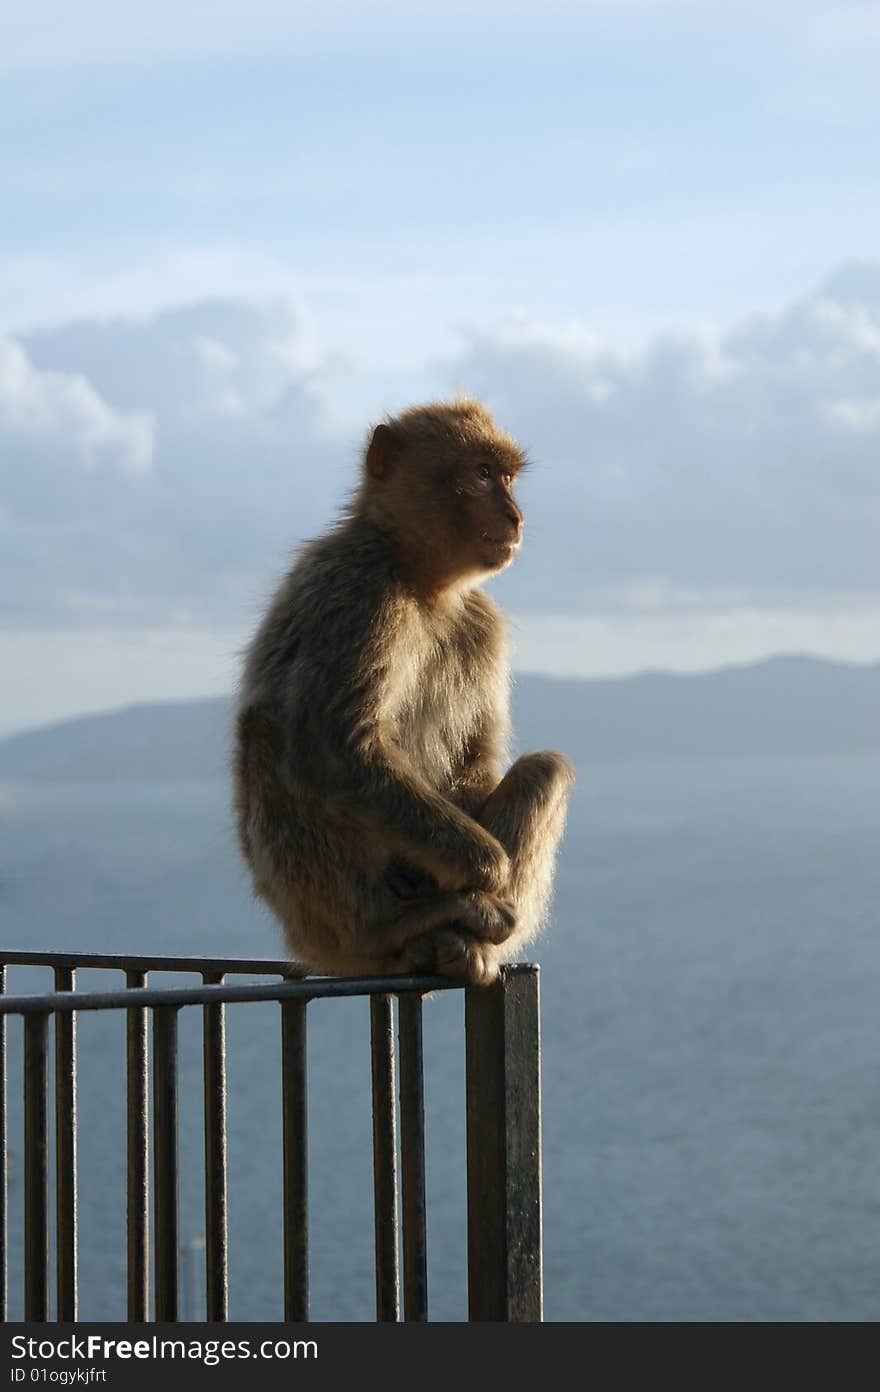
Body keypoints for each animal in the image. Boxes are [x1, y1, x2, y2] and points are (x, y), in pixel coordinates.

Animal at [229, 398, 573, 985]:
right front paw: (489, 871)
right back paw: (403, 925)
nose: (515, 516)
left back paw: (466, 939)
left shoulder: (482, 622)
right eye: (482, 473)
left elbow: (475, 756)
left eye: (505, 477)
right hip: (318, 914)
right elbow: (338, 749)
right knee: (271, 738)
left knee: (543, 771)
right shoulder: (357, 592)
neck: (420, 581)